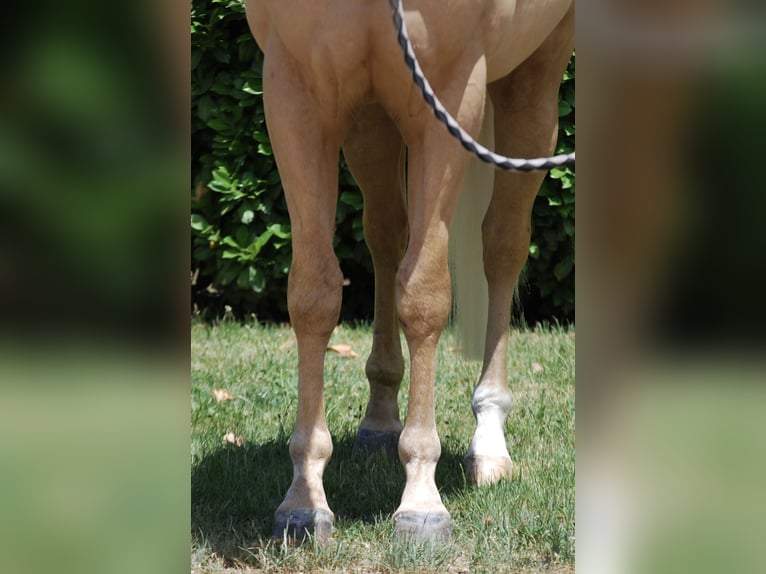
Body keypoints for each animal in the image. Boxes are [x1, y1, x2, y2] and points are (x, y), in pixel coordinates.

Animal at [244, 0, 574, 542]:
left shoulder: (449, 97)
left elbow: (424, 296)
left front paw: (421, 500)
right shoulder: (295, 90)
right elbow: (313, 294)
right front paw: (303, 501)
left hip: (535, 79)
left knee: (502, 245)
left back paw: (489, 439)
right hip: (371, 114)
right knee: (386, 233)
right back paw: (380, 419)